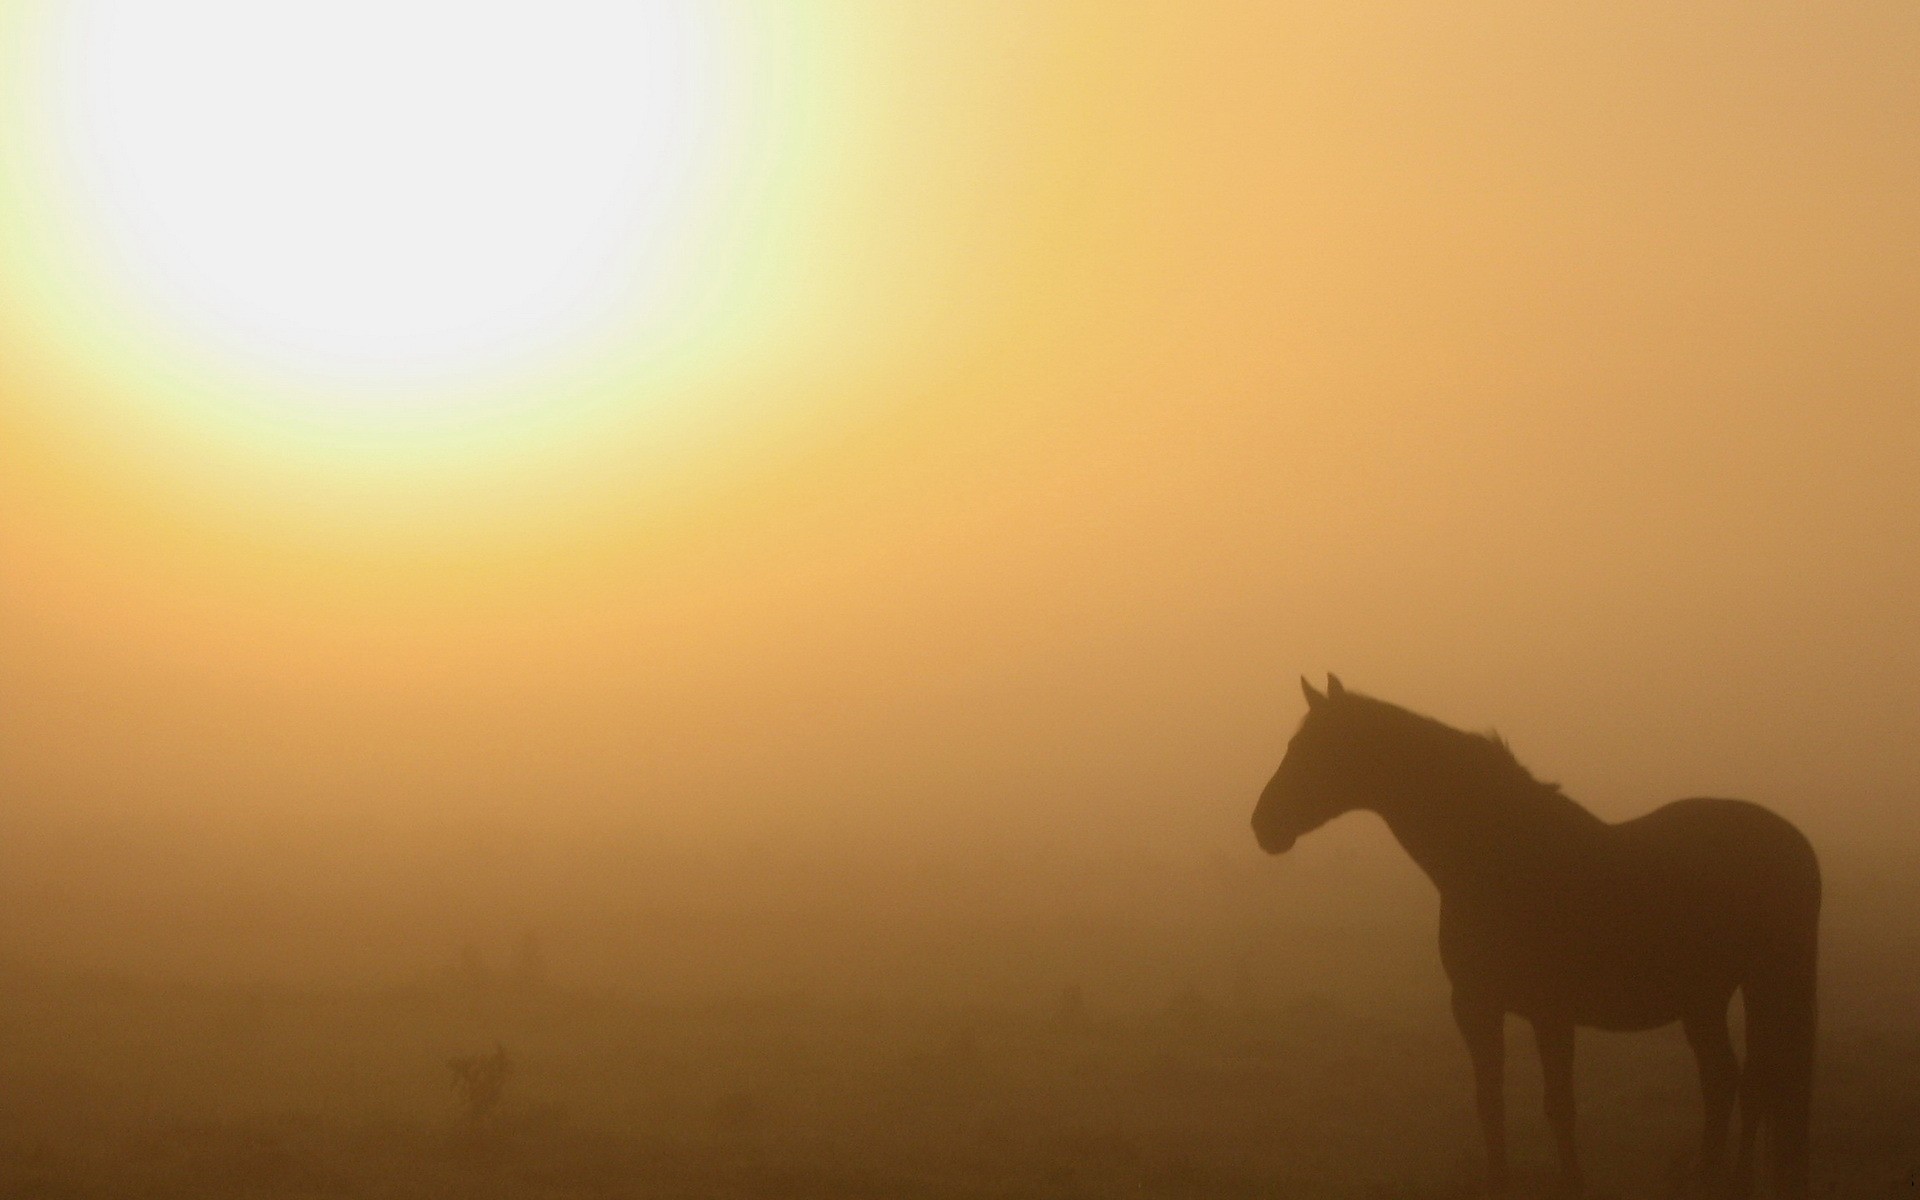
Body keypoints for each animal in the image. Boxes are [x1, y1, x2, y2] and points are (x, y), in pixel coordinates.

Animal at [1251, 679, 1820, 1190]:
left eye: (1315, 750)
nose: (1263, 825)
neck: (1503, 860)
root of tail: (1793, 841)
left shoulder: (1552, 1013)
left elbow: (1559, 1106)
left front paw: (1571, 1183)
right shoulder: (1475, 1006)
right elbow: (1490, 1102)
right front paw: (1498, 1180)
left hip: (1766, 985)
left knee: (1755, 1082)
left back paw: (1736, 1179)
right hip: (1704, 997)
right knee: (1724, 1079)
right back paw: (1705, 1174)